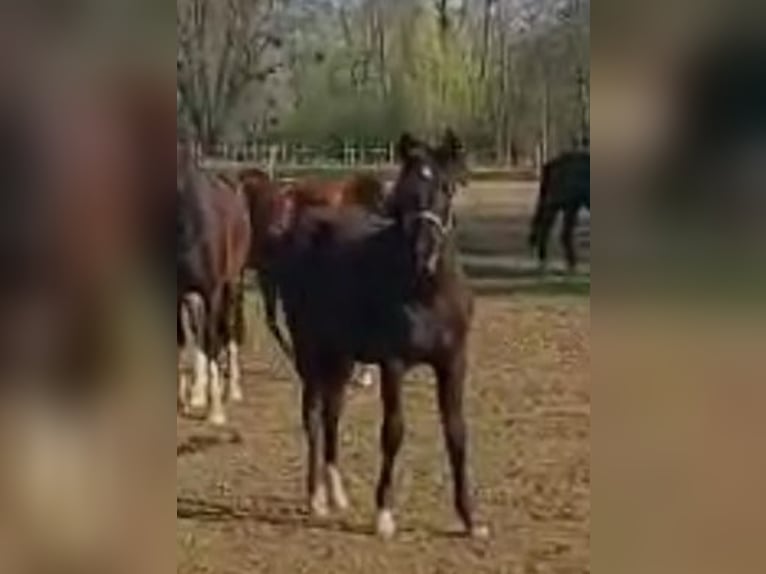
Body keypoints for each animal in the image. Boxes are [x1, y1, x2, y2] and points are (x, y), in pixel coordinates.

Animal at [177, 144, 251, 426]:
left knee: (226, 329)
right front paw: (185, 400)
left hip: (232, 285)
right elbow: (182, 341)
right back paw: (198, 392)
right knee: (198, 329)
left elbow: (210, 341)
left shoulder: (213, 291)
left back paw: (234, 390)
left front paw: (216, 411)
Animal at [274, 130, 487, 539]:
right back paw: (316, 498)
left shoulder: (454, 362)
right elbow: (393, 431)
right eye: (406, 190)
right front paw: (385, 514)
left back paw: (337, 493)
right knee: (312, 414)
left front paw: (471, 518)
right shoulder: (394, 363)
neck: (427, 291)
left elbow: (457, 433)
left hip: (340, 355)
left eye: (447, 187)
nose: (424, 254)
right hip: (310, 348)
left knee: (332, 413)